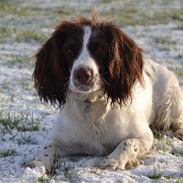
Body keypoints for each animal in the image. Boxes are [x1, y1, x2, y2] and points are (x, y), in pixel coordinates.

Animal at [28, 16, 183, 172]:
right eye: (69, 50)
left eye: (100, 49)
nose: (82, 74)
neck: (91, 105)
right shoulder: (58, 137)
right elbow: (47, 147)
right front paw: (38, 163)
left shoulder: (143, 135)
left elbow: (128, 142)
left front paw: (113, 160)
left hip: (170, 104)